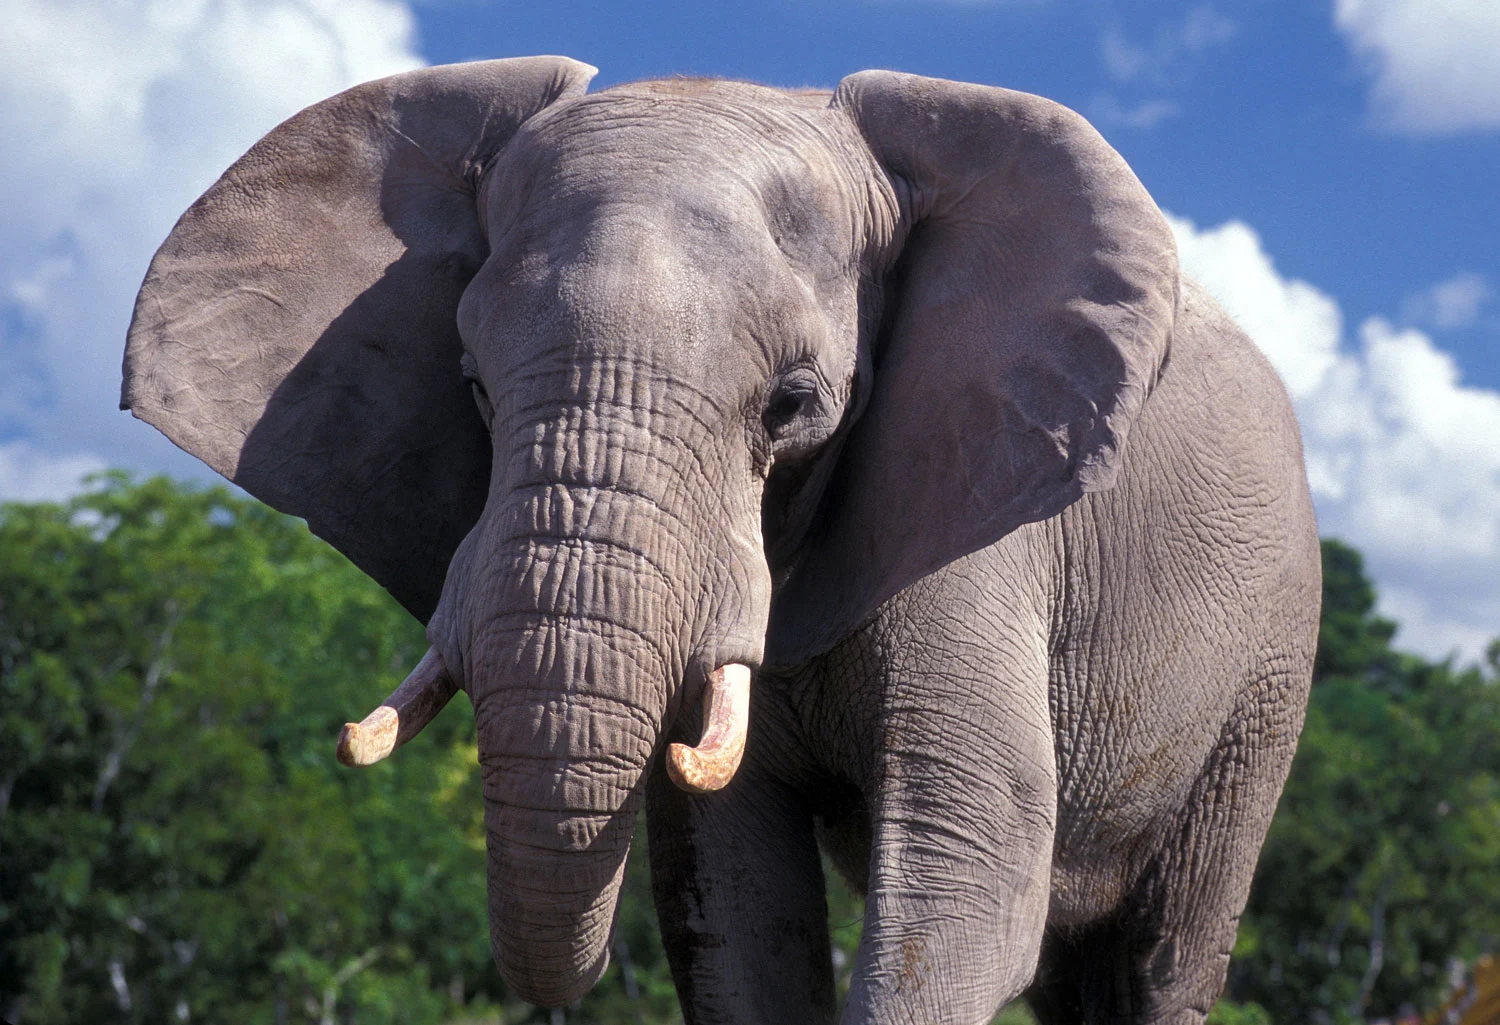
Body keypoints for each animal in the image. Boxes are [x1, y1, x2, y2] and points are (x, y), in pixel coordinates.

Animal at [122, 56, 1321, 1024]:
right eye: (472, 387)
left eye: (791, 404)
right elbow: (730, 900)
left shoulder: (979, 520)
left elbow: (968, 863)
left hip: (1268, 674)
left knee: (1162, 956)